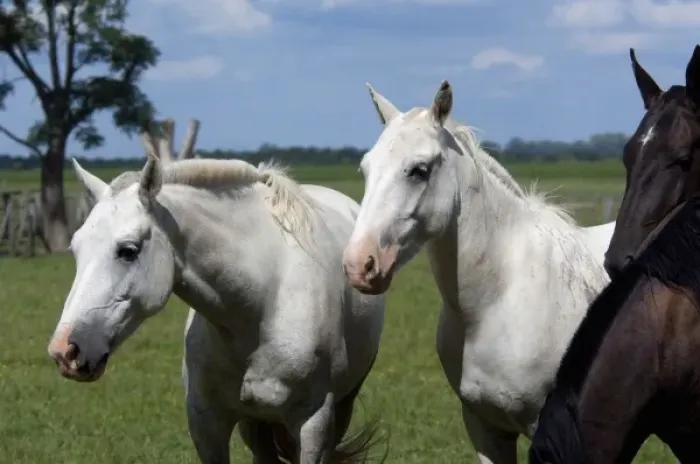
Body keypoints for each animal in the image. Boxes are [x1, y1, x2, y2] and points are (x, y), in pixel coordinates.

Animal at [46, 145, 388, 464]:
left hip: (340, 407)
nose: (65, 351)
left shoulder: (313, 424)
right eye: (75, 249)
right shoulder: (207, 423)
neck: (263, 305)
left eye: (128, 250)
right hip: (256, 424)